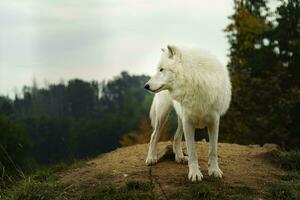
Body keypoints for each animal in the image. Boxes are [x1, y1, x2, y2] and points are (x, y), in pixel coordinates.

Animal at [144, 45, 231, 183]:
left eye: (161, 69)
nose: (145, 86)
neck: (195, 79)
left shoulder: (214, 121)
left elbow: (213, 150)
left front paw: (214, 170)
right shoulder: (189, 123)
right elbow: (193, 152)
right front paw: (195, 174)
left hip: (180, 119)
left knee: (176, 137)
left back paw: (180, 157)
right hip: (163, 115)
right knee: (154, 135)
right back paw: (151, 158)